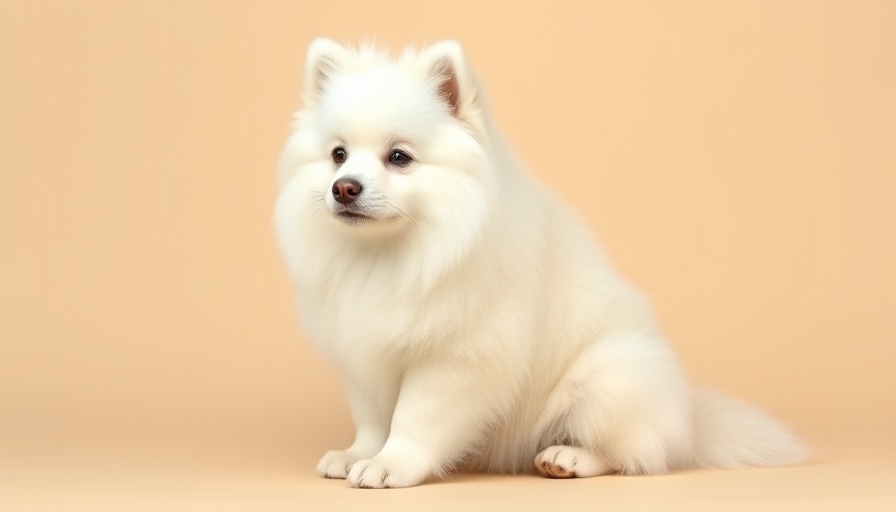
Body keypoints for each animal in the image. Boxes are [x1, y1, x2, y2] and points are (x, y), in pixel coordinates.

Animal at [272, 39, 804, 488]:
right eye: (338, 155)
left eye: (399, 157)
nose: (344, 187)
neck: (393, 253)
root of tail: (692, 422)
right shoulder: (362, 351)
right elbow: (372, 417)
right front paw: (358, 453)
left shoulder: (455, 357)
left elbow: (415, 418)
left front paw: (390, 464)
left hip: (609, 378)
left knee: (631, 453)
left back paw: (567, 458)